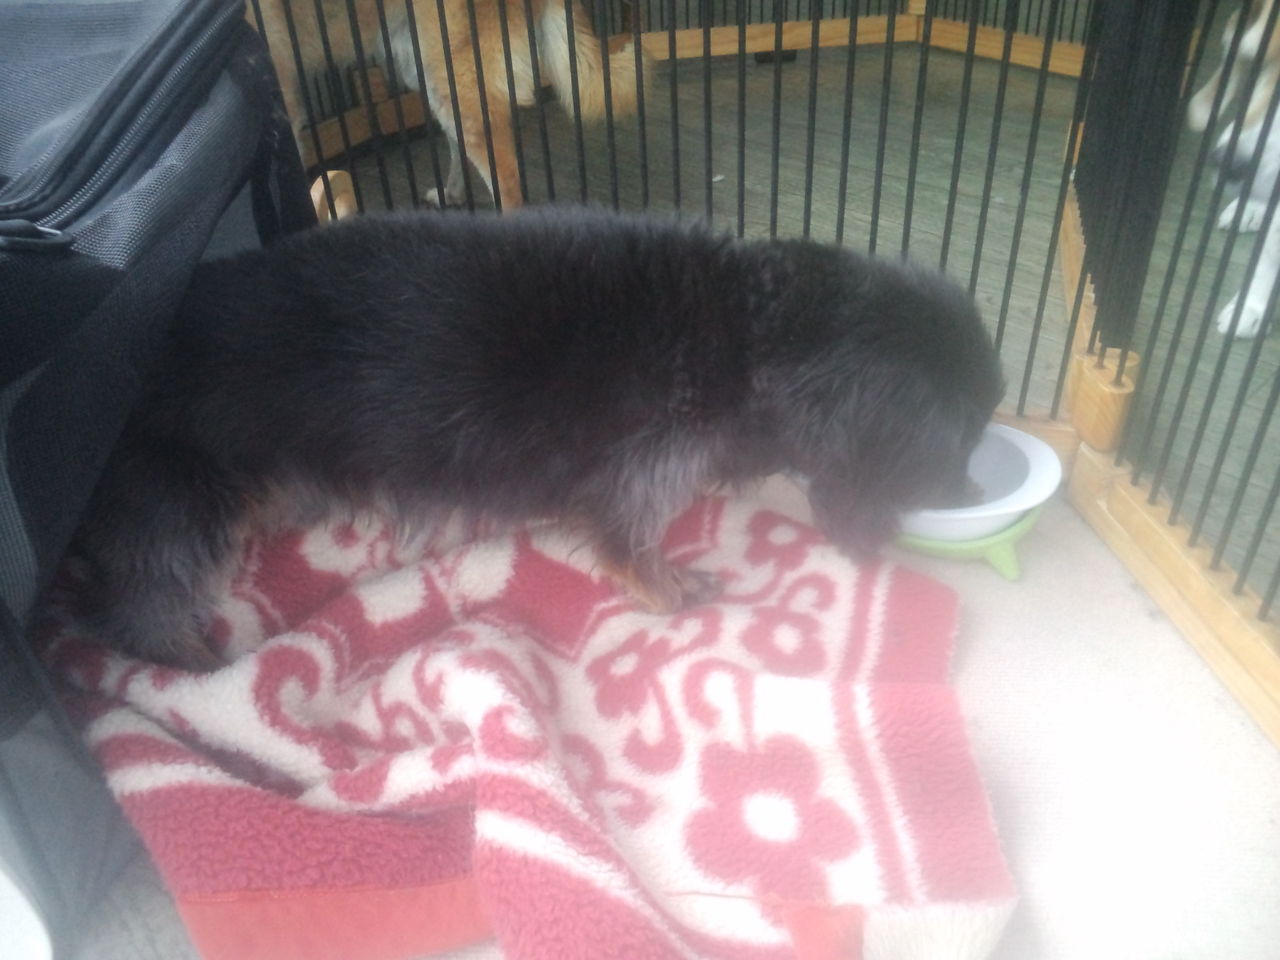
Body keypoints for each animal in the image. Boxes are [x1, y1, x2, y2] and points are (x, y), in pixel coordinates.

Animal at [67, 207, 1005, 668]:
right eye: (952, 445)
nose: (975, 492)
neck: (750, 330)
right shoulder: (643, 465)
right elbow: (629, 539)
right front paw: (668, 585)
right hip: (171, 491)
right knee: (142, 595)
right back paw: (189, 660)